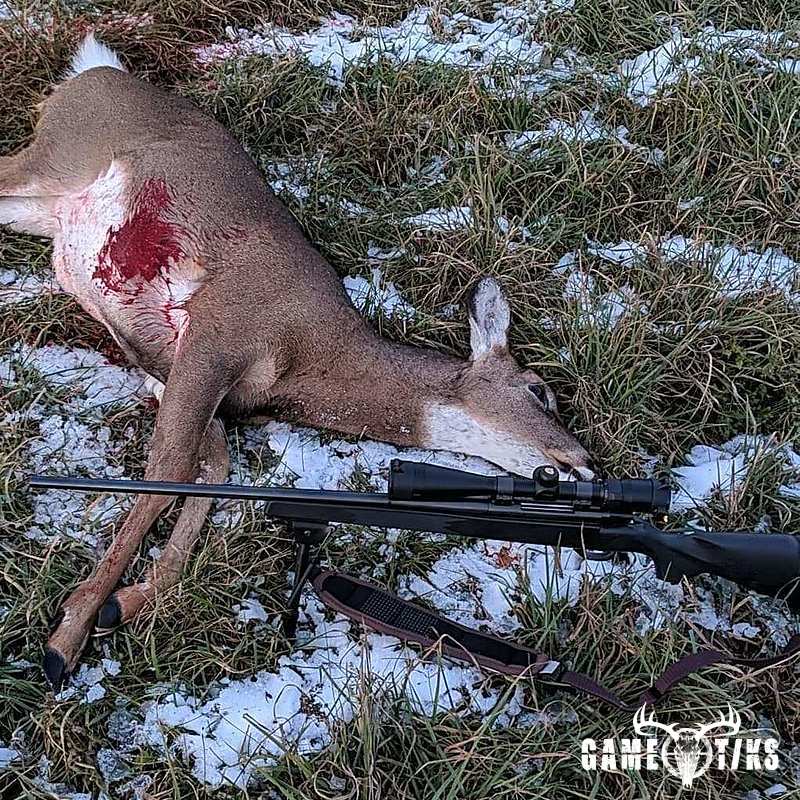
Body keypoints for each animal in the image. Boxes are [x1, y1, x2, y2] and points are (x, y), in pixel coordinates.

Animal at [0, 35, 592, 688]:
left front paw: (123, 603)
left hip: (40, 208)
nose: (584, 462)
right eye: (540, 390)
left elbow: (213, 472)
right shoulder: (219, 331)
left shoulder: (189, 376)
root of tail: (96, 69)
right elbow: (169, 470)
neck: (312, 358)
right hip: (56, 155)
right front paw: (68, 633)